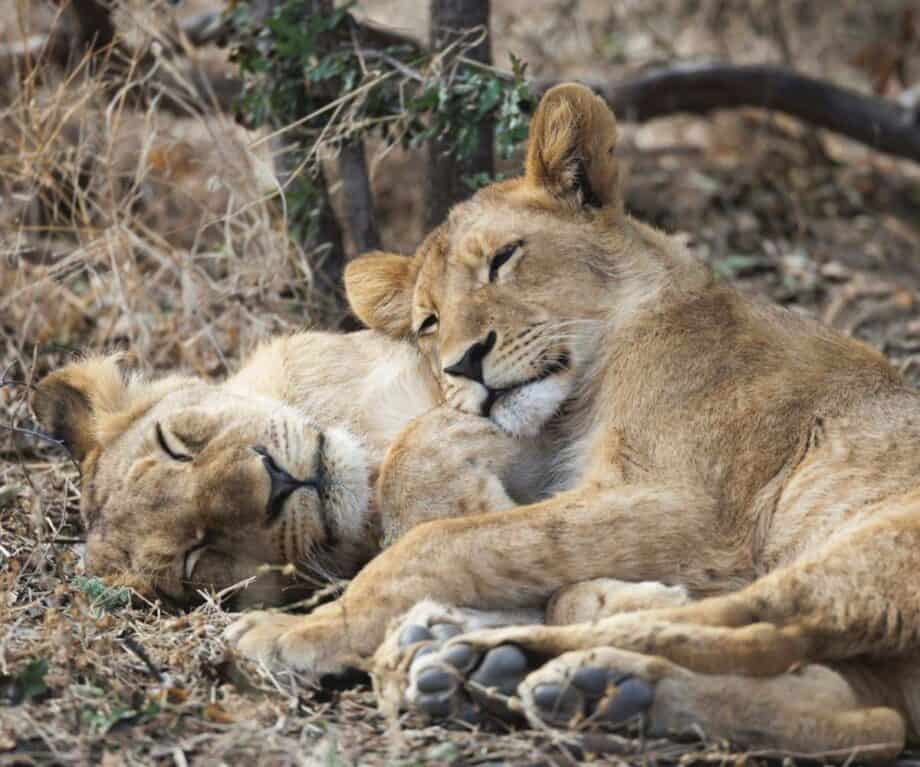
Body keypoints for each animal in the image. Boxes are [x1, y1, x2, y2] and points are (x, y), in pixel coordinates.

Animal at [226, 84, 920, 761]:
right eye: (428, 322)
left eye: (503, 259)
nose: (462, 364)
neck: (591, 383)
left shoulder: (696, 509)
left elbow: (443, 541)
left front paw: (305, 630)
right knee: (862, 713)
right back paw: (595, 685)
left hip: (877, 541)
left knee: (776, 629)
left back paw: (491, 658)